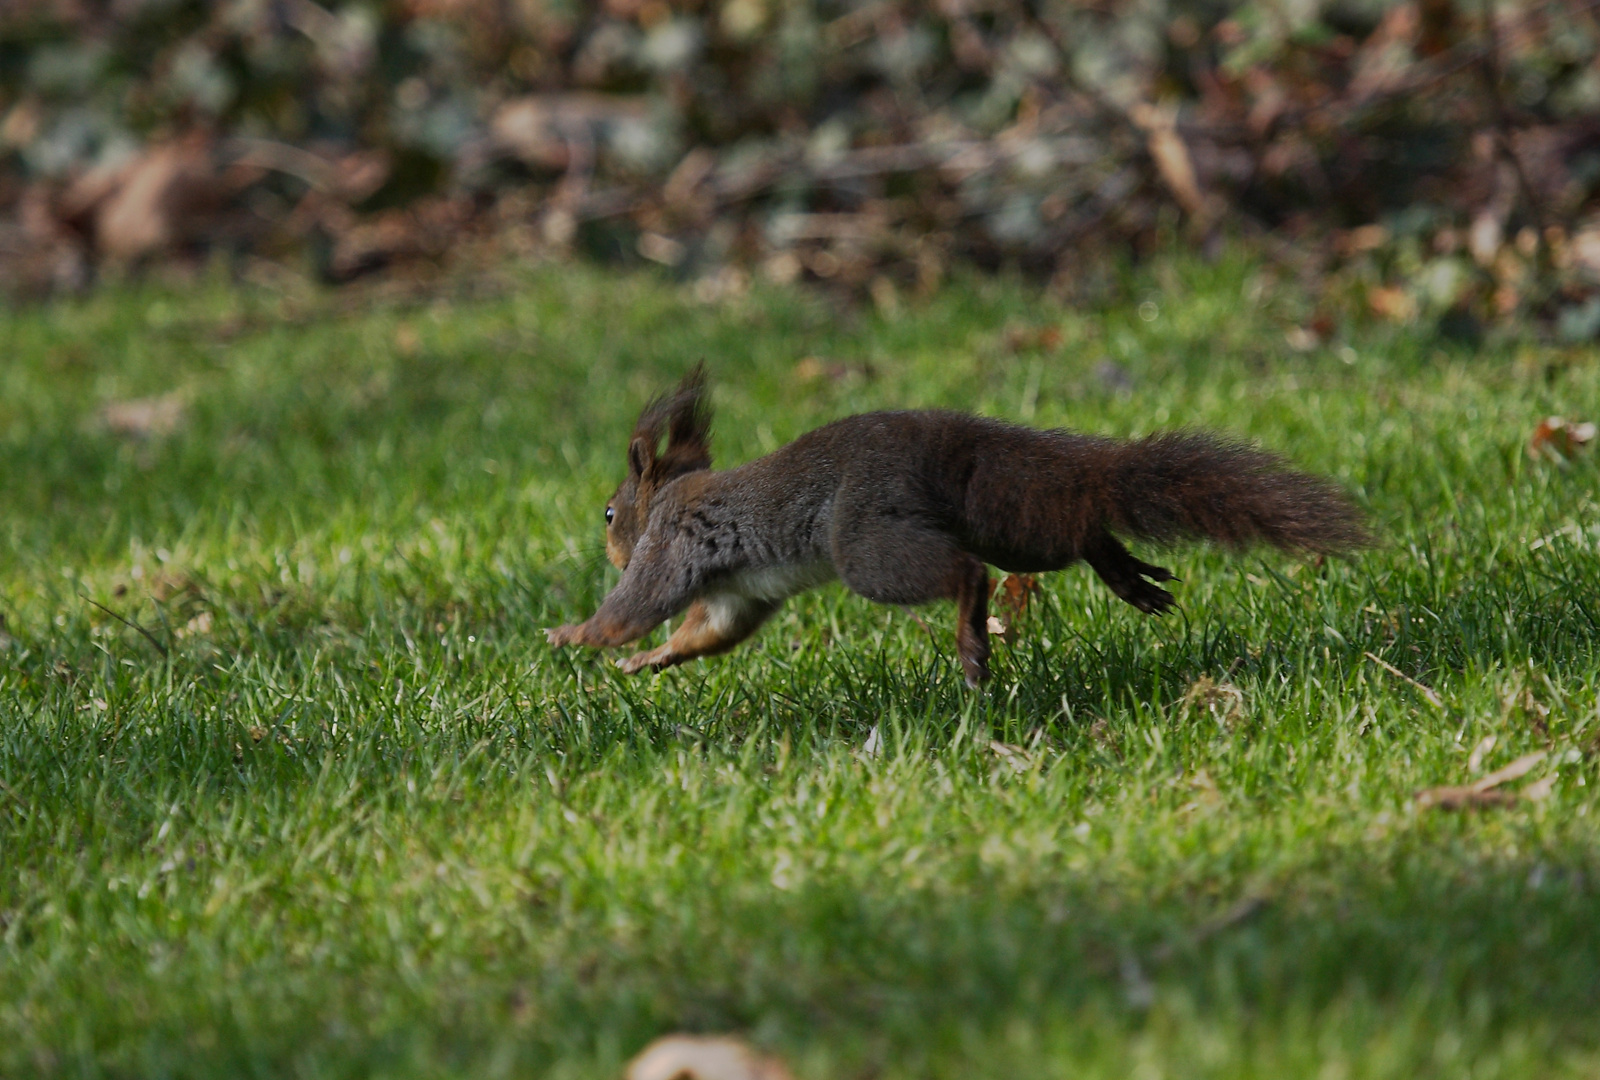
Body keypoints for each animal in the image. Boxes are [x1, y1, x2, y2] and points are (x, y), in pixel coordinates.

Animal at [547, 363, 1363, 684]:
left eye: (611, 513)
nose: (610, 548)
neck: (672, 497)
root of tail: (945, 442)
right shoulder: (732, 593)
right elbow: (705, 634)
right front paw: (647, 663)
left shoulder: (672, 545)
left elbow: (636, 607)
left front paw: (575, 635)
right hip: (1003, 519)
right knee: (1068, 532)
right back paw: (1126, 576)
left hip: (866, 545)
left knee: (967, 573)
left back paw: (974, 646)